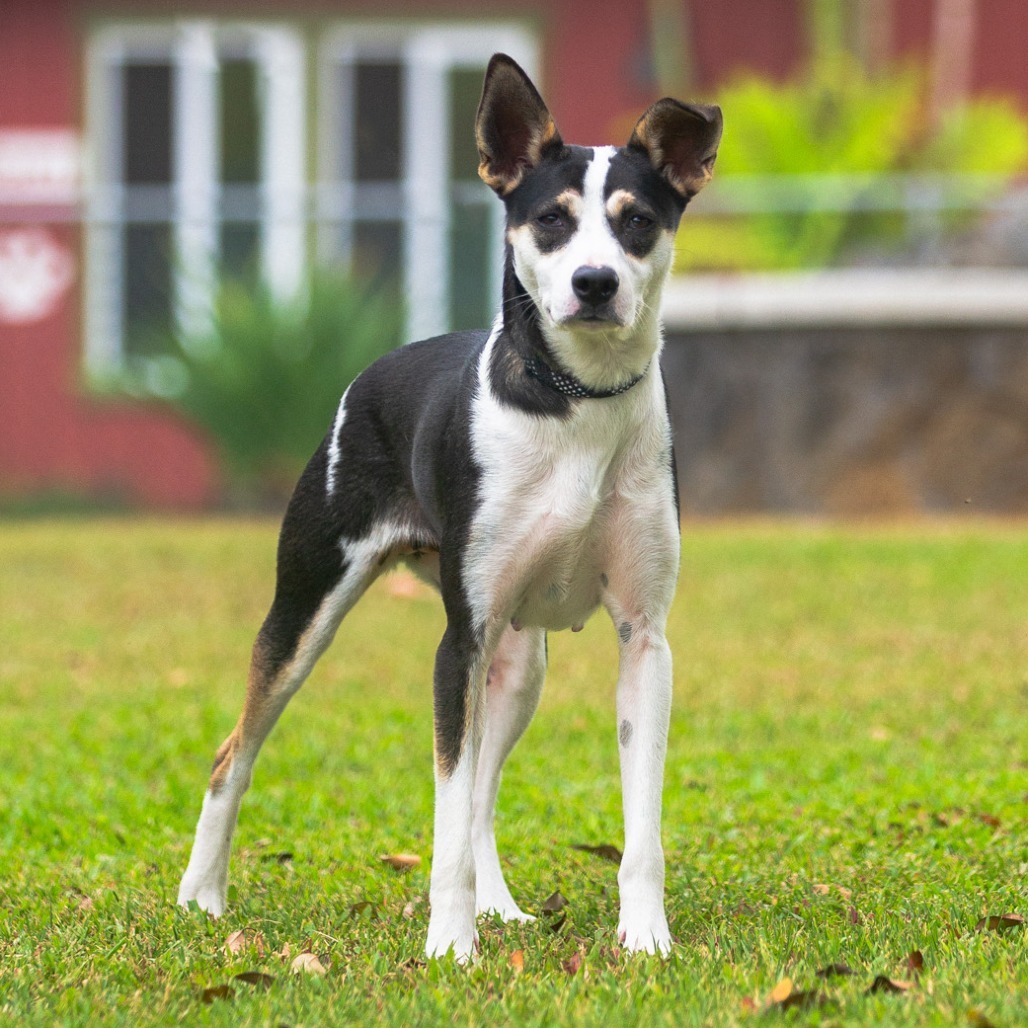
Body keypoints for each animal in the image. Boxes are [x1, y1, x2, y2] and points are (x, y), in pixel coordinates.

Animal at [178, 52, 723, 958]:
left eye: (639, 221)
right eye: (551, 221)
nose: (595, 282)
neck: (574, 400)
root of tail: (368, 375)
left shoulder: (645, 640)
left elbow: (638, 824)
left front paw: (646, 940)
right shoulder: (456, 645)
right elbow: (442, 813)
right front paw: (449, 949)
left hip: (517, 662)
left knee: (478, 798)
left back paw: (500, 907)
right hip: (309, 611)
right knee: (235, 754)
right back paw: (203, 896)